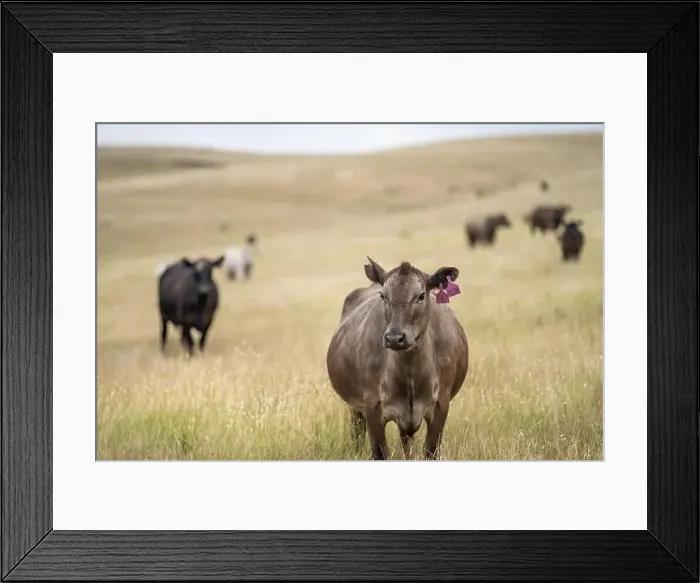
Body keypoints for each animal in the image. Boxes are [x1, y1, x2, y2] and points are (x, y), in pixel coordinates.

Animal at [326, 257, 469, 460]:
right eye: (383, 295)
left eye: (421, 296)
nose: (394, 337)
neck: (410, 374)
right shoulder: (372, 406)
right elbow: (380, 453)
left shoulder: (441, 404)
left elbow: (430, 450)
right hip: (355, 408)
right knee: (357, 433)